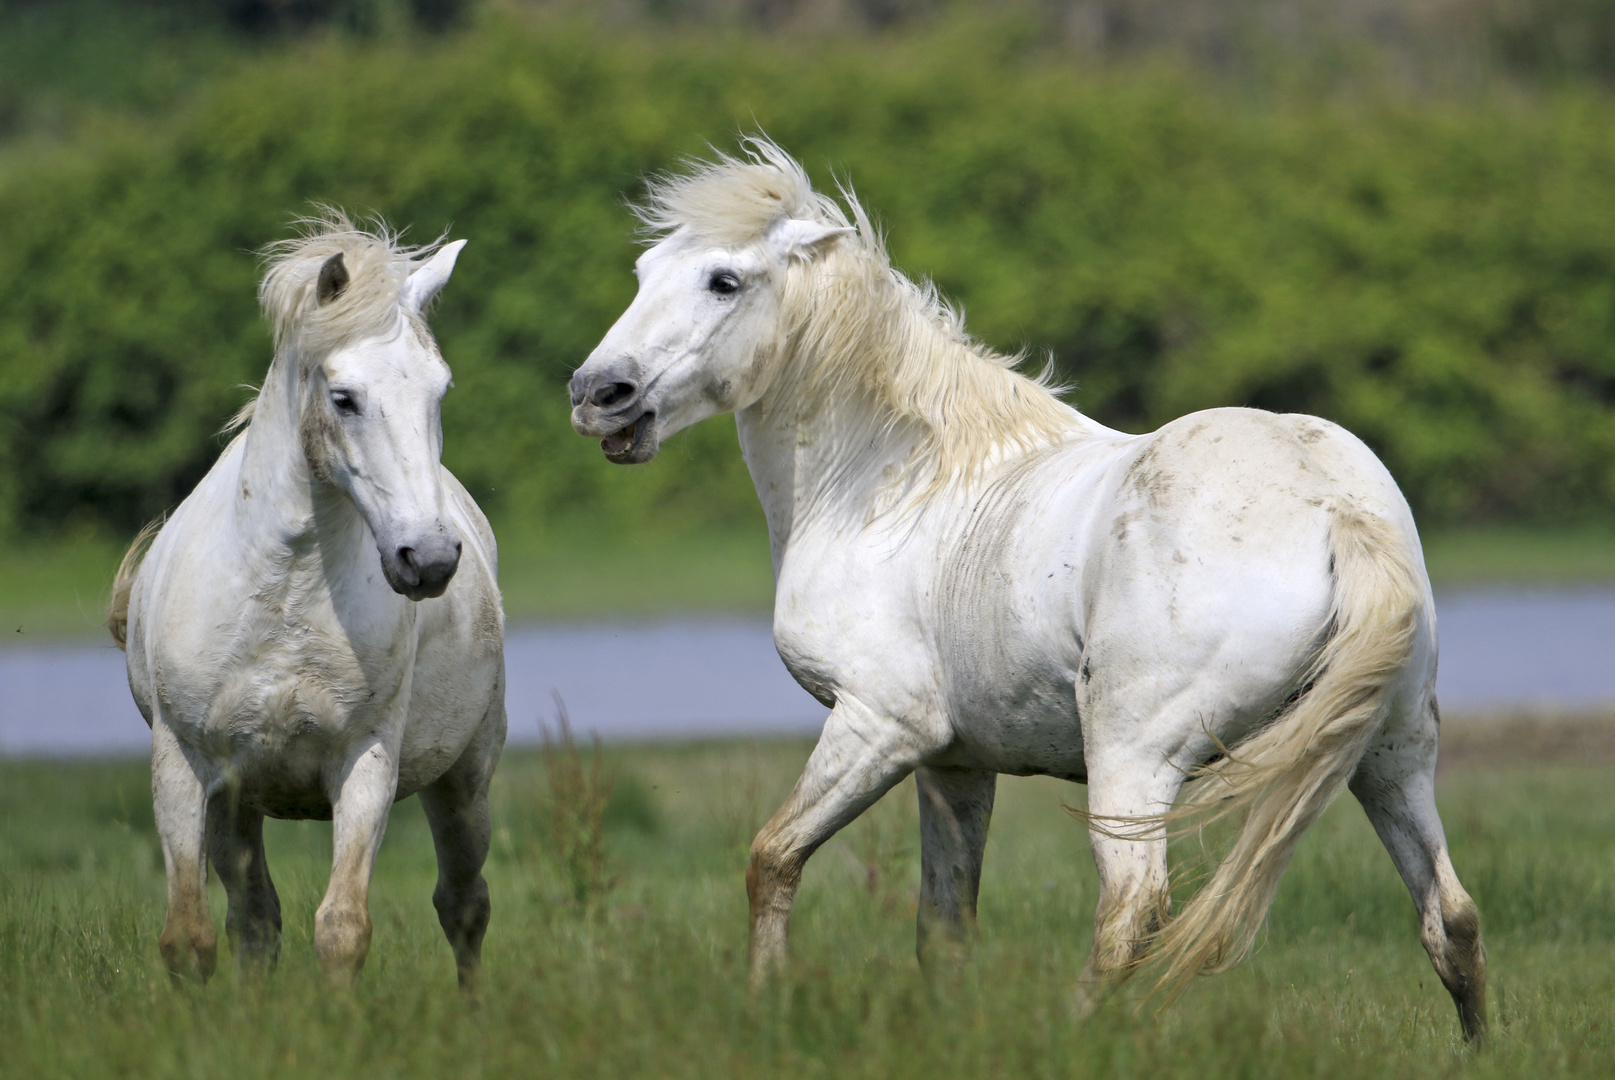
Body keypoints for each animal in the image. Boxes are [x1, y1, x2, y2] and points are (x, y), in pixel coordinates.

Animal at [112, 213, 503, 987]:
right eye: (344, 398)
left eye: (439, 391)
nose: (429, 558)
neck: (282, 594)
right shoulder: (185, 764)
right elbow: (190, 937)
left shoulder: (365, 763)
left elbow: (342, 928)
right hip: (235, 802)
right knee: (254, 921)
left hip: (465, 778)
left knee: (464, 905)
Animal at [574, 138, 1492, 1039]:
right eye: (644, 271)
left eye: (723, 280)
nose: (596, 394)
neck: (890, 481)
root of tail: (1337, 508)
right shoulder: (952, 765)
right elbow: (942, 927)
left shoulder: (882, 725)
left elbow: (773, 860)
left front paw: (763, 1006)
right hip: (1392, 752)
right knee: (1449, 917)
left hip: (1135, 756)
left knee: (1130, 912)